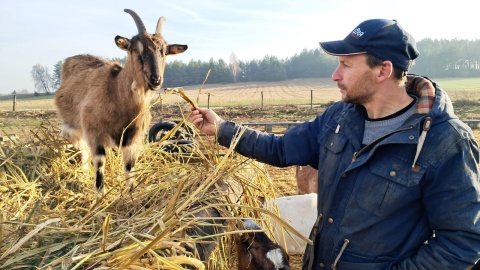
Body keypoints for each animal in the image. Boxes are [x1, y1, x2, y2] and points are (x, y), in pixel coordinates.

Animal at [53, 8, 187, 192]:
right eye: (136, 50)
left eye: (164, 52)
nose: (155, 79)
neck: (115, 92)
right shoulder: (94, 131)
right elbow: (100, 162)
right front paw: (100, 193)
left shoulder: (133, 137)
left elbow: (129, 168)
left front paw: (130, 192)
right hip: (75, 127)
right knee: (83, 151)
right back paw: (84, 173)